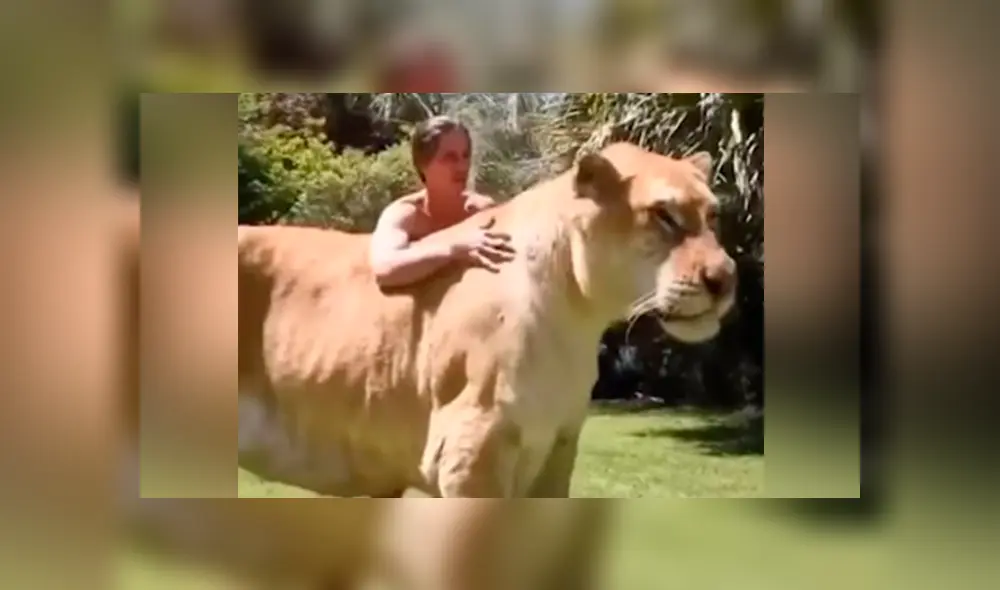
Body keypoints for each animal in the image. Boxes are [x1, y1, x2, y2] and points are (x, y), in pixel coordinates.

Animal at [237, 141, 737, 500]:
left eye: (713, 215)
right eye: (663, 215)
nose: (726, 279)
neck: (577, 315)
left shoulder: (558, 450)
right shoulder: (470, 450)